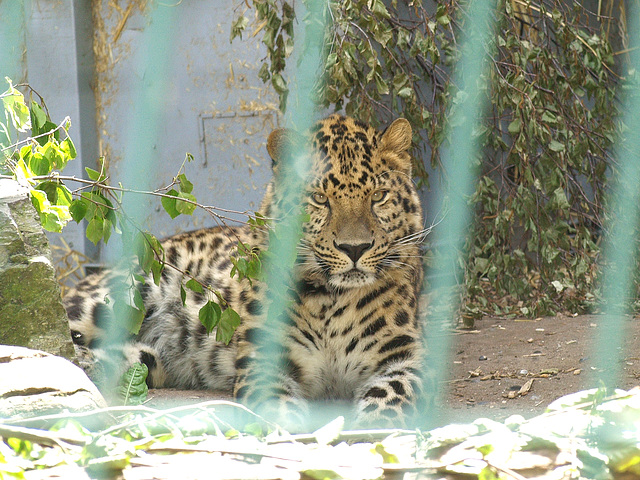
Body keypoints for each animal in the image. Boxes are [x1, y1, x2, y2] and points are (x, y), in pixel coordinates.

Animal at [65, 115, 428, 428]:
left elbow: (393, 396)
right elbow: (279, 405)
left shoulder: (406, 358)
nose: (354, 248)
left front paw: (375, 427)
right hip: (114, 299)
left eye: (378, 196)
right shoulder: (264, 360)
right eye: (318, 198)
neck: (332, 299)